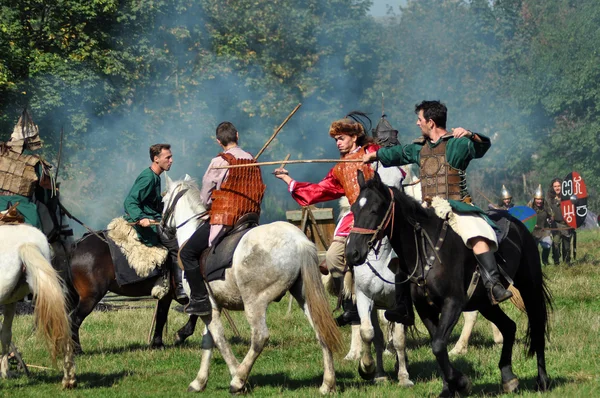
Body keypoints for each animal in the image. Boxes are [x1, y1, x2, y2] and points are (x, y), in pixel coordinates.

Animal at [344, 172, 552, 398]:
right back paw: (508, 378)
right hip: (485, 303)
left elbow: (437, 345)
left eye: (374, 209)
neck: (426, 249)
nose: (352, 253)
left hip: (529, 287)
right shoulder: (426, 309)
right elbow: (438, 345)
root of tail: (518, 225)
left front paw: (461, 383)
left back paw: (542, 380)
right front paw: (449, 387)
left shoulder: (453, 303)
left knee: (537, 327)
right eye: (354, 210)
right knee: (509, 327)